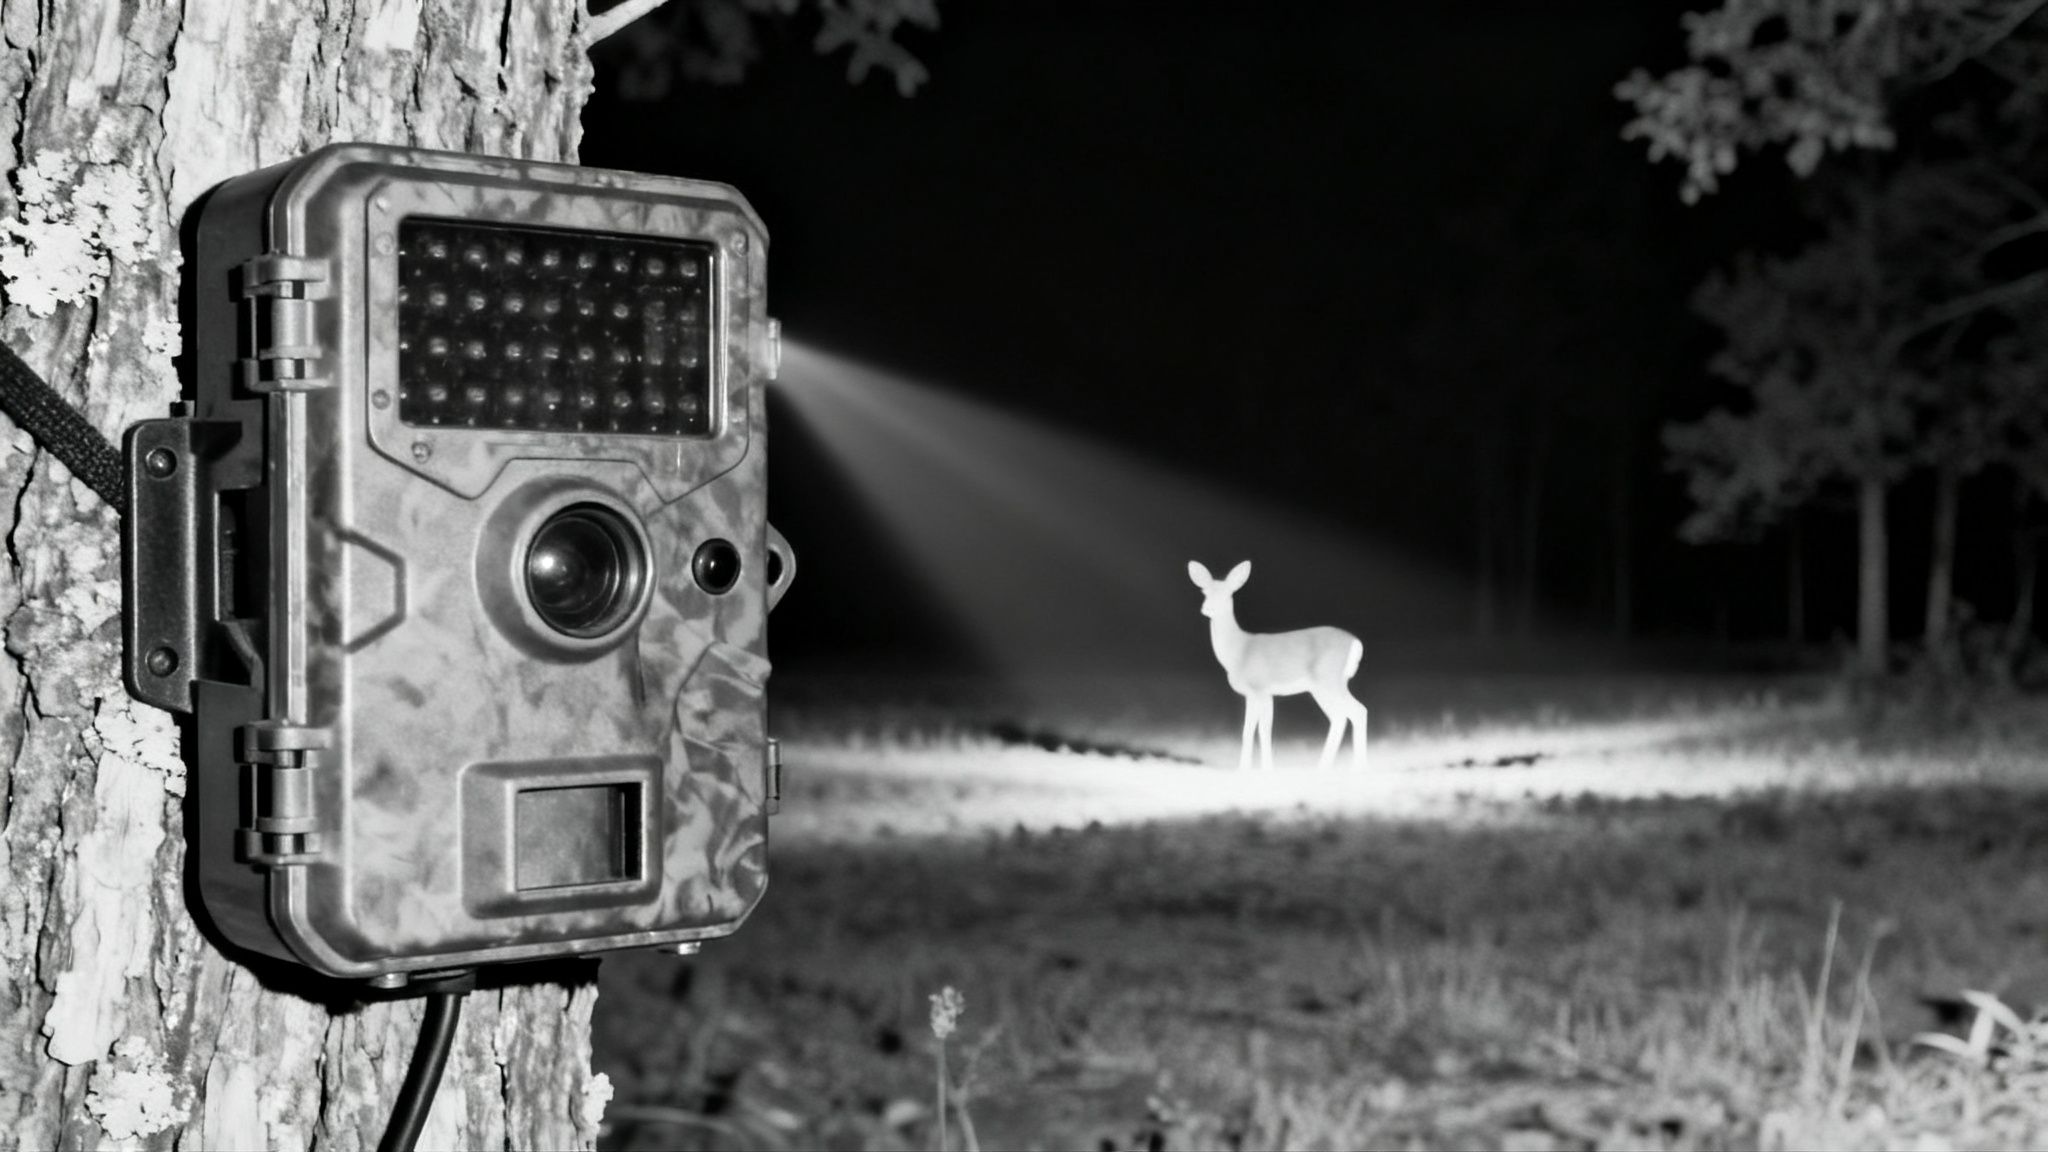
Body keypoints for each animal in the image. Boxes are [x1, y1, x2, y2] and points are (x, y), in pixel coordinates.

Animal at [1187, 560, 1368, 771]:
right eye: (1204, 592)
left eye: (1228, 593)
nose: (1207, 608)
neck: (1239, 651)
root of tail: (1356, 643)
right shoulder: (1253, 694)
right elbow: (1248, 730)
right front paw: (1245, 769)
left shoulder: (1261, 688)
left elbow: (1263, 730)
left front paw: (1265, 769)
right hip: (1323, 686)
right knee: (1340, 717)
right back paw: (1324, 767)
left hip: (1329, 680)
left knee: (1357, 711)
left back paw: (1358, 767)